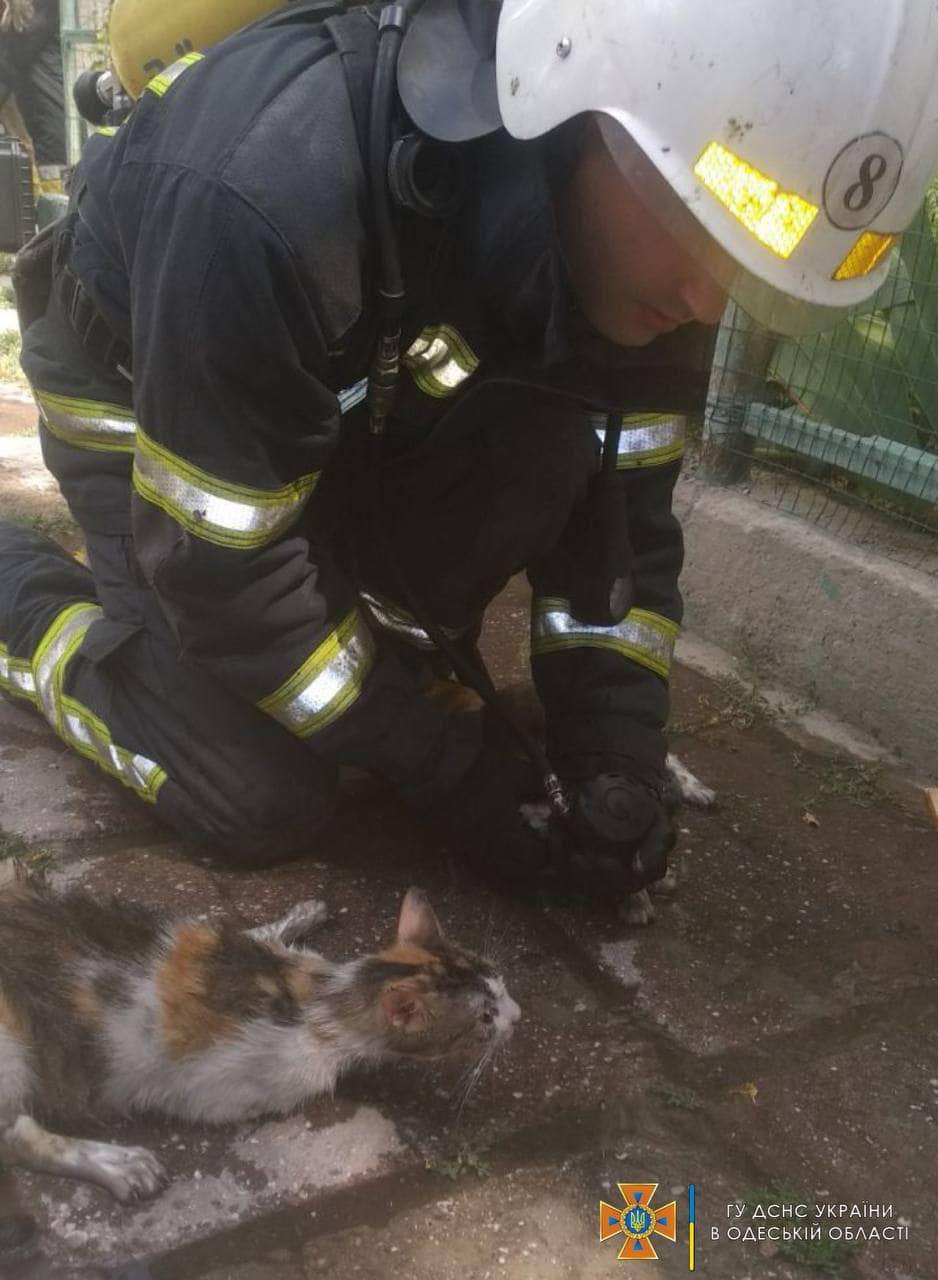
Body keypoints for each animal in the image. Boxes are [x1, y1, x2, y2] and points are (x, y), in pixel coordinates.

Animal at [0, 875, 516, 1244]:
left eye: (501, 981)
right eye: (485, 1018)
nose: (519, 1014)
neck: (326, 993)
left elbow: (245, 932)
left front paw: (298, 917)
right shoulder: (212, 1092)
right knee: (17, 1135)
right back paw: (117, 1163)